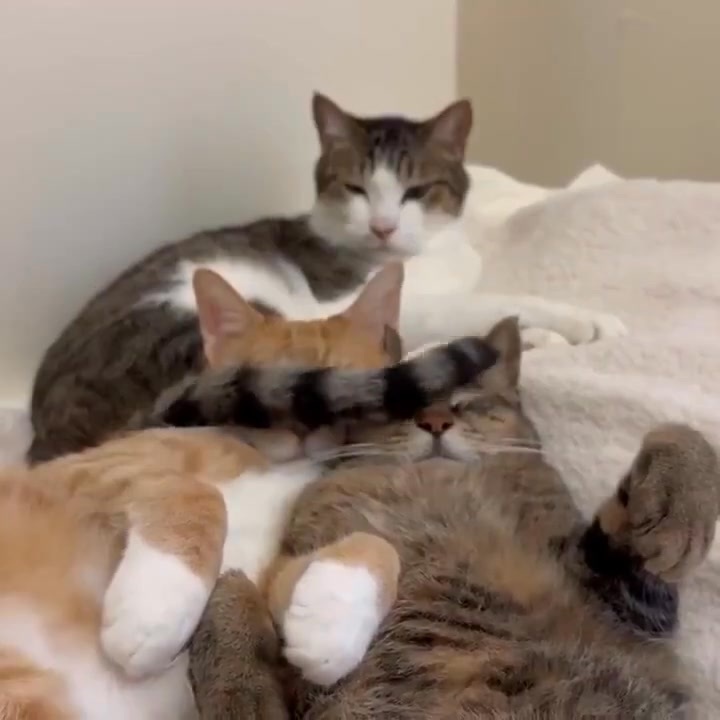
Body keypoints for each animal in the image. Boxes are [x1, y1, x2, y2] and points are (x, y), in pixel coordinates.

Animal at [0, 319, 500, 720]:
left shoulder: (268, 575)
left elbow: (377, 546)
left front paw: (328, 625)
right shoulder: (92, 471)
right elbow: (201, 495)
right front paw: (155, 610)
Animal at [28, 92, 624, 463]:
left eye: (416, 191)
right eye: (355, 188)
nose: (383, 227)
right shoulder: (373, 299)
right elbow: (489, 303)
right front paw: (584, 322)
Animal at [187, 318, 720, 720]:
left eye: (470, 405)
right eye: (404, 408)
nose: (436, 421)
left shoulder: (624, 600)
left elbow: (676, 435)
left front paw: (675, 499)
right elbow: (234, 611)